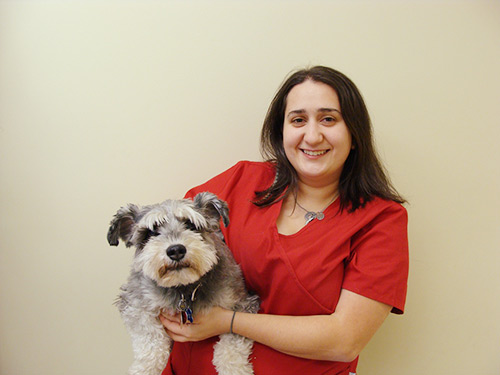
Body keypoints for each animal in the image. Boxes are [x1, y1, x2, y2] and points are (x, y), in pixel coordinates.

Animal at [108, 192, 260, 374]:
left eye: (191, 225)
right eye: (151, 232)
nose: (176, 250)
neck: (183, 288)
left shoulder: (242, 303)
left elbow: (231, 345)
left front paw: (235, 368)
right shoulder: (135, 304)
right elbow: (150, 341)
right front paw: (145, 368)